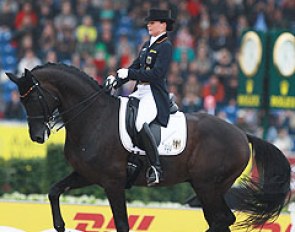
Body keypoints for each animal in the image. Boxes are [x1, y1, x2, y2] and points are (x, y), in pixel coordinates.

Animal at [5, 62, 292, 231]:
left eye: (34, 97)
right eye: (21, 101)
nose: (37, 137)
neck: (93, 117)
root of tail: (242, 133)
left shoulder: (112, 182)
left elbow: (122, 223)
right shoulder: (86, 175)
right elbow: (54, 191)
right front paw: (60, 225)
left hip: (208, 185)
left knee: (221, 219)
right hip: (209, 187)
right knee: (222, 220)